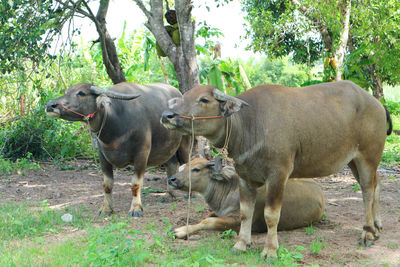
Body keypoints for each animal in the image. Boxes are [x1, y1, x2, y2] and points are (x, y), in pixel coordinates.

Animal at [46, 82, 190, 218]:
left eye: (81, 93)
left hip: (185, 143)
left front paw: (135, 209)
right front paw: (106, 209)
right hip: (167, 148)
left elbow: (135, 184)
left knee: (186, 163)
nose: (50, 105)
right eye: (67, 92)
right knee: (171, 165)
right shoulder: (102, 156)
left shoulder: (142, 153)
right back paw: (169, 195)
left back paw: (189, 194)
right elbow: (107, 185)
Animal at [169, 158, 324, 240]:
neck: (230, 189)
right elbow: (207, 216)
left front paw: (179, 231)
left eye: (196, 169)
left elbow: (207, 221)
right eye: (185, 166)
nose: (172, 179)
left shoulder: (238, 222)